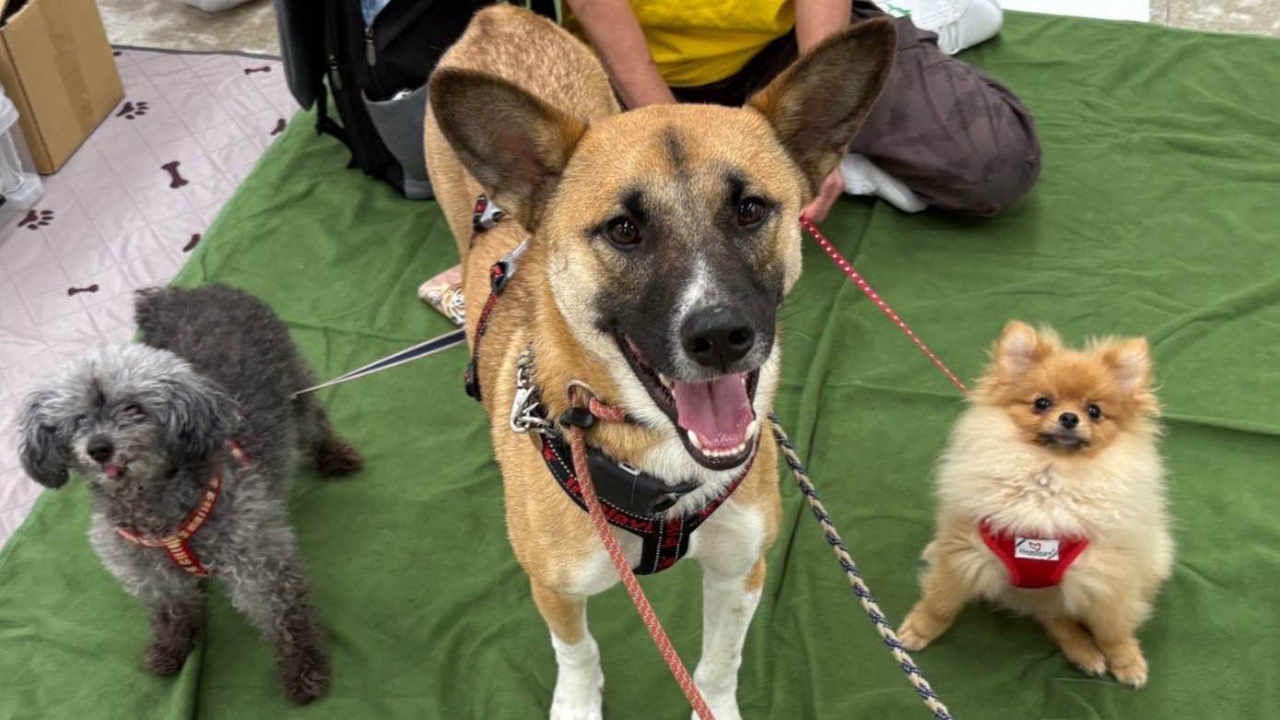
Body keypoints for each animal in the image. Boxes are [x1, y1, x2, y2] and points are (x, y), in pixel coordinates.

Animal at [17, 284, 362, 703]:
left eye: (134, 409)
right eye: (79, 419)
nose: (99, 448)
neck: (156, 509)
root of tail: (187, 291)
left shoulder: (257, 562)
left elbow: (285, 617)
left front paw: (305, 669)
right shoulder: (148, 571)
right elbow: (172, 610)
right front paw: (171, 649)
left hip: (295, 383)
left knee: (316, 422)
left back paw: (335, 456)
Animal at [423, 6, 896, 718]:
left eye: (750, 210)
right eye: (624, 230)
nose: (721, 335)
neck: (659, 460)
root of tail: (497, 17)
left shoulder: (740, 571)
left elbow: (720, 664)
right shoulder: (556, 587)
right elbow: (577, 652)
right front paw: (577, 704)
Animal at [897, 321, 1172, 687]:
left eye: (1094, 411)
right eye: (1042, 403)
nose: (1069, 417)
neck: (1048, 482)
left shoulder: (1106, 578)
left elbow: (1113, 630)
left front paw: (1127, 662)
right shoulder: (963, 556)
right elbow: (940, 603)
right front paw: (919, 630)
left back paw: (1087, 654)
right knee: (1051, 616)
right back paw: (1084, 653)